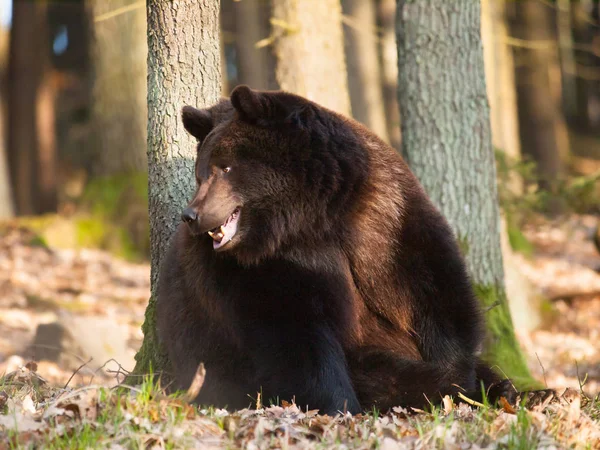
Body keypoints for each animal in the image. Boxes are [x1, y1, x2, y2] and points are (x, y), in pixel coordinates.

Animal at [156, 84, 510, 414]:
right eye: (202, 173)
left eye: (225, 167)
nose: (192, 214)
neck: (308, 215)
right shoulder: (262, 269)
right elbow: (295, 333)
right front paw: (338, 403)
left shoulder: (382, 219)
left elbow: (433, 288)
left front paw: (463, 377)